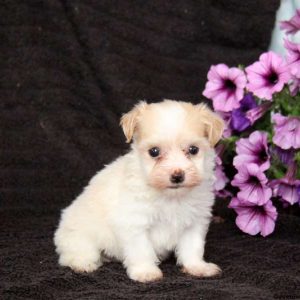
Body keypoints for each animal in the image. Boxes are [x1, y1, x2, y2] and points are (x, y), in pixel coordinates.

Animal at [54, 99, 224, 282]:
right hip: (79, 237)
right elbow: (141, 250)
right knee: (75, 253)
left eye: (193, 150)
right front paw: (146, 272)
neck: (171, 196)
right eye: (154, 152)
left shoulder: (194, 222)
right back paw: (83, 263)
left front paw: (197, 267)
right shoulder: (135, 223)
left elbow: (193, 247)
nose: (177, 176)